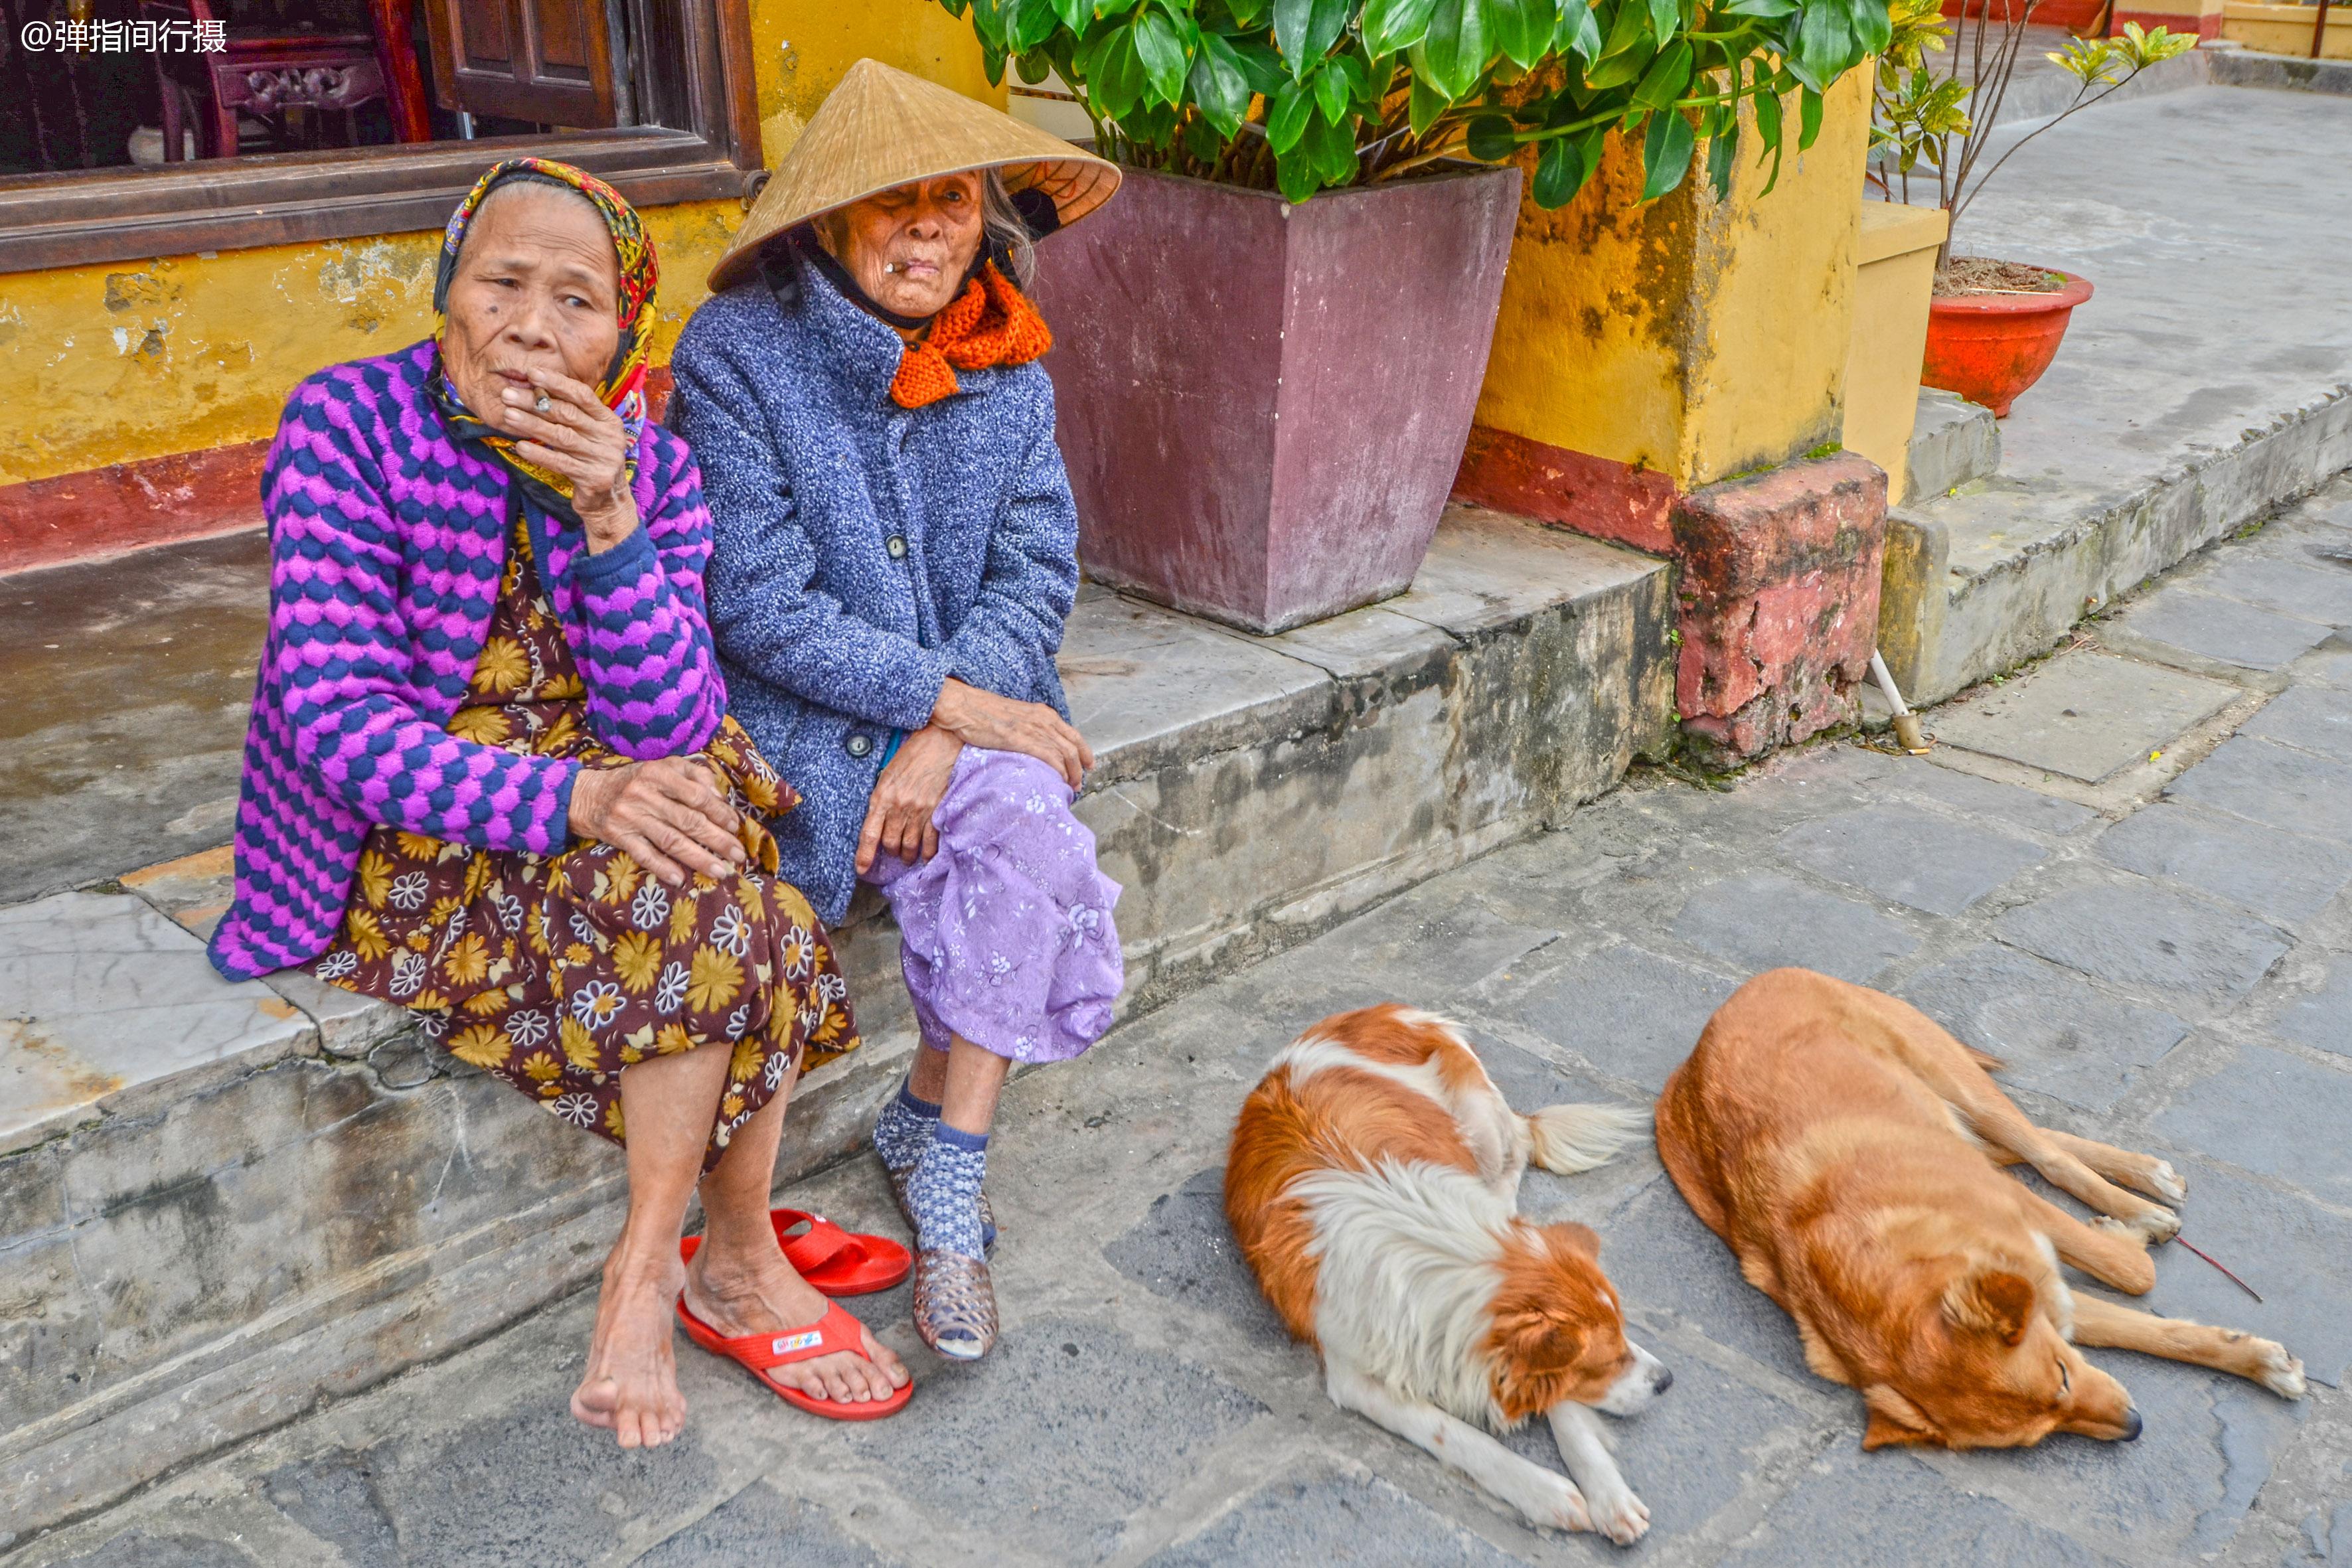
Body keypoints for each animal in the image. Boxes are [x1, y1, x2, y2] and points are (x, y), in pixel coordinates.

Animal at [1223, 1006, 1665, 1542]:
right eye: (1608, 1360)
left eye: (1624, 1336)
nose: (1666, 1381)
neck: (1445, 1249)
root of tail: (1374, 1010)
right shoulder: (1355, 1375)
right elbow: (1455, 1435)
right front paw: (1543, 1492)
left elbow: (1563, 1407)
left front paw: (1608, 1493)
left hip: (1479, 1114)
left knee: (1517, 1148)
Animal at [1665, 973, 2305, 1457]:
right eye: (2040, 1432)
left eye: (2063, 1375)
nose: (2135, 1427)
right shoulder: (2048, 1298)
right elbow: (2154, 1329)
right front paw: (2257, 1359)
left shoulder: (2024, 1228)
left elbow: (2132, 1275)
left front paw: (2126, 1234)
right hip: (1956, 1115)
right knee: (2032, 1146)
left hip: (1959, 1084)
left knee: (2045, 1154)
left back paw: (2142, 1193)